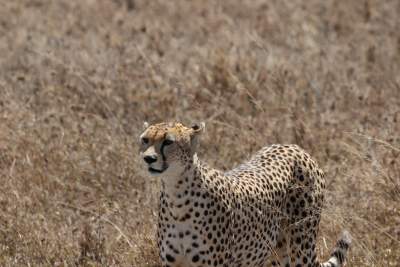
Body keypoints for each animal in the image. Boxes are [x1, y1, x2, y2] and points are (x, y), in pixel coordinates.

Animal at [139, 122, 352, 267]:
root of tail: (294, 146)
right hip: (276, 251)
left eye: (168, 142)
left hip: (301, 247)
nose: (148, 158)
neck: (176, 193)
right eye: (145, 139)